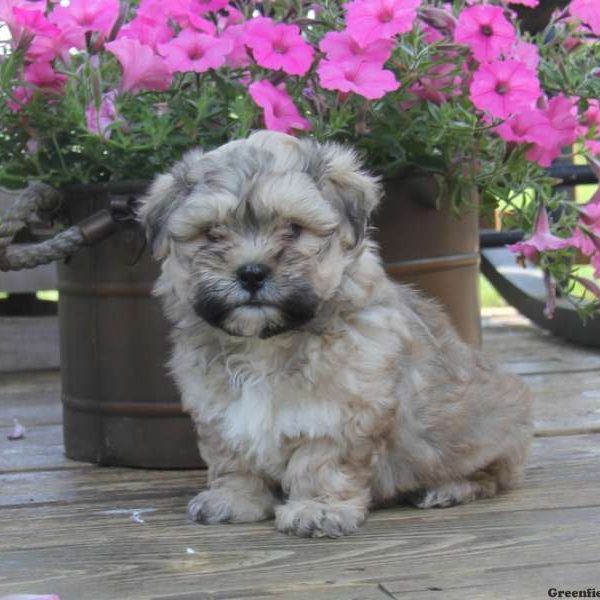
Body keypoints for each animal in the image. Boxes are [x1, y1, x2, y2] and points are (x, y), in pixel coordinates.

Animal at [138, 131, 532, 540]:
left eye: (294, 228)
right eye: (212, 233)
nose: (251, 272)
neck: (265, 343)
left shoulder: (342, 410)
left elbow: (321, 463)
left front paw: (317, 509)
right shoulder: (219, 411)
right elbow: (232, 458)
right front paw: (234, 499)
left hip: (485, 426)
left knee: (494, 472)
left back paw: (446, 489)